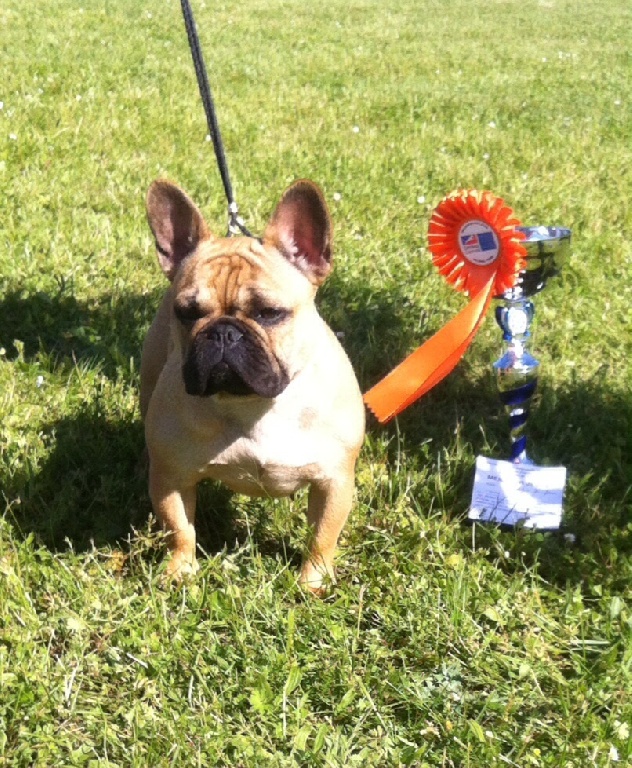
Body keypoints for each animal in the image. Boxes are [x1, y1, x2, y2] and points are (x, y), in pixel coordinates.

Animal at [139, 177, 366, 592]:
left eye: (270, 313)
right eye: (187, 312)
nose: (223, 333)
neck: (253, 405)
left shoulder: (334, 480)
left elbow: (322, 537)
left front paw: (313, 582)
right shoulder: (172, 478)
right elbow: (180, 529)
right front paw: (180, 573)